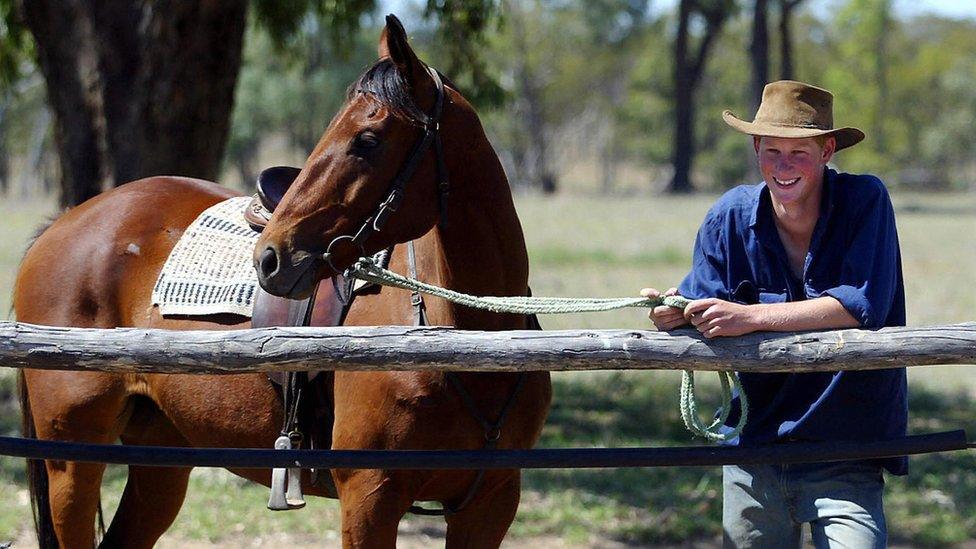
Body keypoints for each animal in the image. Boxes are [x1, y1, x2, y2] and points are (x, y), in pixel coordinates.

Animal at [13, 15, 548, 544]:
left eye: (367, 140)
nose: (269, 257)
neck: (465, 342)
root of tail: (60, 225)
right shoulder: (370, 498)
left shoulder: (489, 504)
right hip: (73, 462)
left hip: (160, 458)